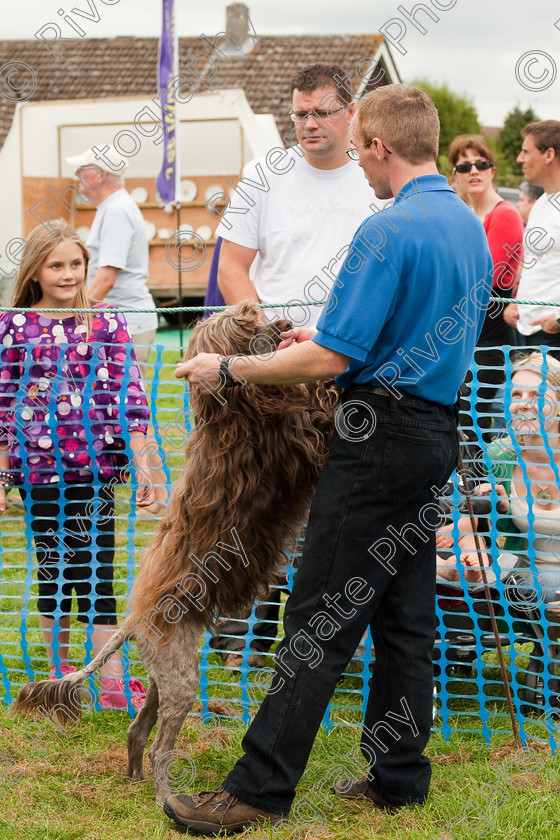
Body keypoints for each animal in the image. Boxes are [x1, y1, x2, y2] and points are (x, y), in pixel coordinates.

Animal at [12, 304, 336, 808]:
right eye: (247, 323)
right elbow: (324, 407)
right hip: (180, 679)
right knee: (160, 746)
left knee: (137, 729)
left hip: (163, 679)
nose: (285, 325)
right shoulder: (302, 437)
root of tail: (133, 621)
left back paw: (135, 780)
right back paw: (168, 797)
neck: (238, 406)